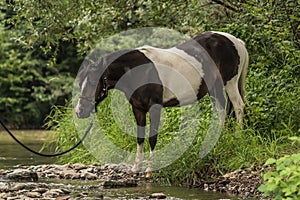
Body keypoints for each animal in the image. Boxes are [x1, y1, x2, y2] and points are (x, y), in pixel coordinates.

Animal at [75, 30, 248, 177]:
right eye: (80, 83)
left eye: (92, 83)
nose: (79, 111)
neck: (139, 71)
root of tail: (236, 41)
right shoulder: (138, 109)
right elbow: (140, 137)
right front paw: (136, 168)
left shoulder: (154, 108)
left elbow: (152, 137)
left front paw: (150, 170)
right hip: (215, 87)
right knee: (221, 110)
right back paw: (219, 138)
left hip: (230, 82)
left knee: (238, 106)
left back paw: (237, 136)